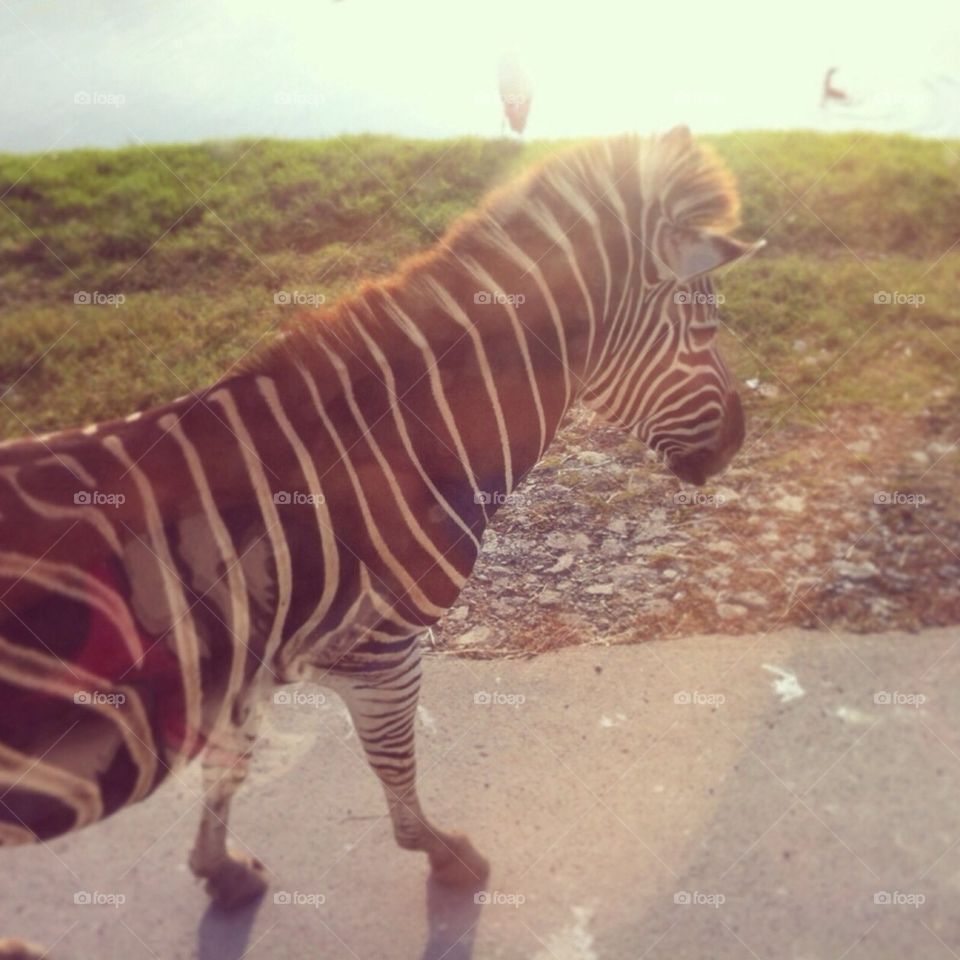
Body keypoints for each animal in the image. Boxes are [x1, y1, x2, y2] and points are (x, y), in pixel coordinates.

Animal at [0, 125, 761, 958]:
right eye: (707, 330)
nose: (736, 443)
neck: (399, 439)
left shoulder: (250, 661)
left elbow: (231, 765)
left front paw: (219, 868)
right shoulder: (377, 648)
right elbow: (393, 761)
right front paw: (444, 856)